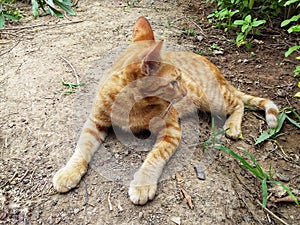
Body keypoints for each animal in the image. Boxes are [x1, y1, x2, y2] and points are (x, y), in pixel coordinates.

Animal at [53, 16, 278, 205]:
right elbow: (82, 147)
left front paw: (143, 183)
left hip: (212, 99)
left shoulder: (171, 129)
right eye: (173, 82)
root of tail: (216, 69)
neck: (131, 105)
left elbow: (155, 156)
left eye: (181, 78)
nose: (185, 90)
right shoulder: (95, 121)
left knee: (239, 103)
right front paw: (69, 172)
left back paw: (232, 126)